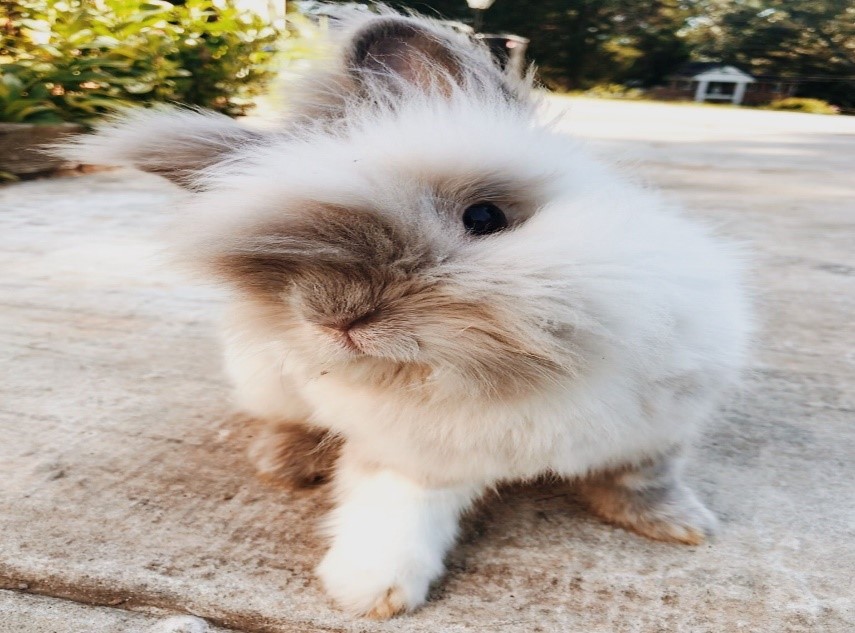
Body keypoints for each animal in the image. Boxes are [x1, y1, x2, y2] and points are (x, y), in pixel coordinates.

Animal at [57, 6, 751, 619]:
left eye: (484, 217)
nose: (335, 319)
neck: (518, 374)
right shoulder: (408, 456)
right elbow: (396, 513)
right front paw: (370, 594)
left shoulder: (657, 429)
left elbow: (642, 478)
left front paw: (680, 526)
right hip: (266, 381)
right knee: (283, 420)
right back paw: (287, 465)